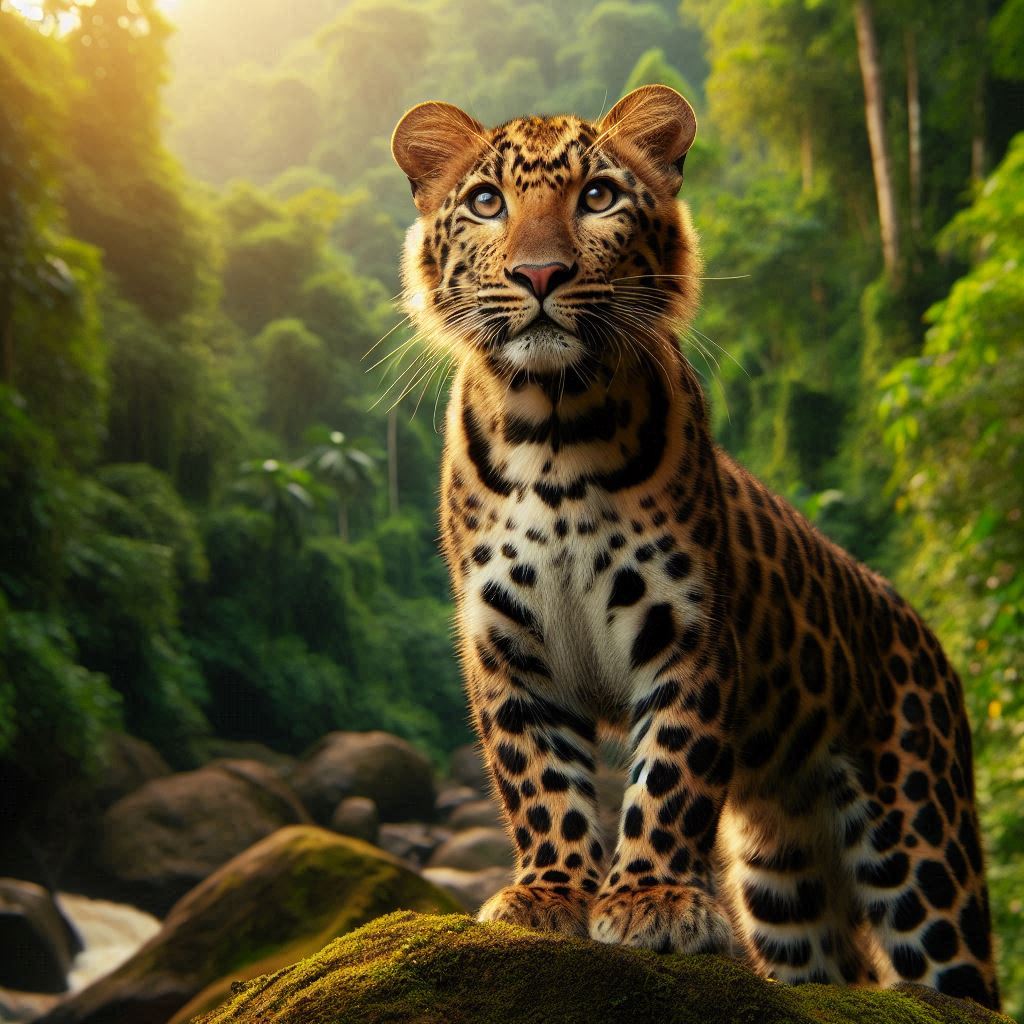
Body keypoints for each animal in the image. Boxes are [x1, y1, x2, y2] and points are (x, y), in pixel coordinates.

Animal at [390, 84, 1000, 1009]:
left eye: (597, 197)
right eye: (488, 203)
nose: (540, 274)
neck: (553, 430)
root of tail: (925, 636)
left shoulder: (690, 631)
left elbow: (669, 777)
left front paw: (652, 902)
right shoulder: (507, 646)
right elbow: (539, 779)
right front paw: (551, 894)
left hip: (923, 850)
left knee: (953, 970)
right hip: (783, 881)